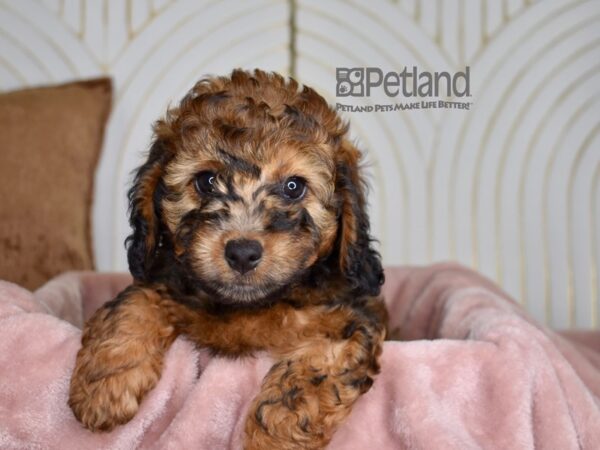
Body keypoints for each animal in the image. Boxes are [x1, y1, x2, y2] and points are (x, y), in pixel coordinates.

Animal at [68, 68, 386, 448]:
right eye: (207, 181)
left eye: (293, 187)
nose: (243, 253)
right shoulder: (163, 279)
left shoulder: (355, 315)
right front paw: (104, 384)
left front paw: (277, 433)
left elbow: (318, 367)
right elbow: (134, 301)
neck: (247, 306)